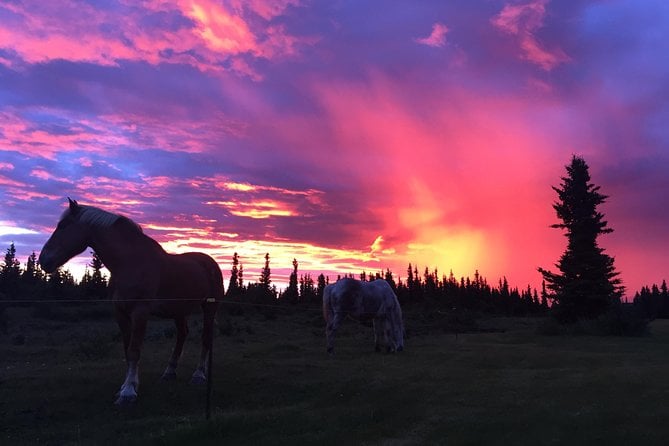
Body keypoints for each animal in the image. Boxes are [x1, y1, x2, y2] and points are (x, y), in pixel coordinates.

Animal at [39, 199, 224, 404]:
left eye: (63, 225)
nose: (43, 260)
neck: (130, 263)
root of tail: (210, 263)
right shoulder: (120, 312)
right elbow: (128, 351)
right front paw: (127, 386)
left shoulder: (140, 312)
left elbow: (135, 350)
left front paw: (128, 392)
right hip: (179, 310)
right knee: (182, 335)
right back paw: (169, 372)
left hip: (209, 308)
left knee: (205, 337)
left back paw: (198, 375)